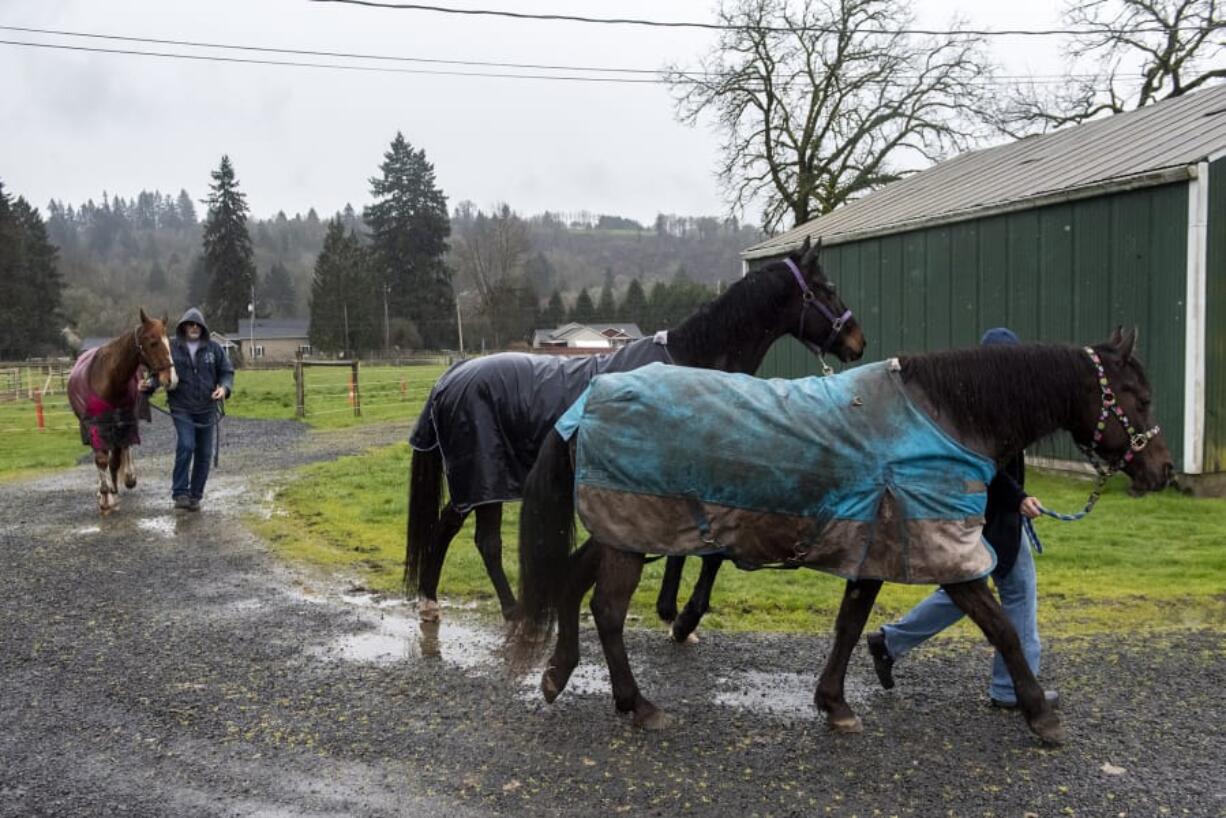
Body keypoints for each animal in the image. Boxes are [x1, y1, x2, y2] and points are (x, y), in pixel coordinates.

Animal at [512, 328, 1172, 745]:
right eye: (1138, 397)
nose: (1162, 470)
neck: (943, 417)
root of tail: (586, 403)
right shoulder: (943, 552)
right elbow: (1001, 627)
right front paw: (1040, 715)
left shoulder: (876, 548)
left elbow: (851, 626)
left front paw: (834, 703)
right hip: (629, 535)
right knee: (607, 610)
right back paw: (637, 704)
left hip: (618, 529)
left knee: (571, 585)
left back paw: (558, 673)